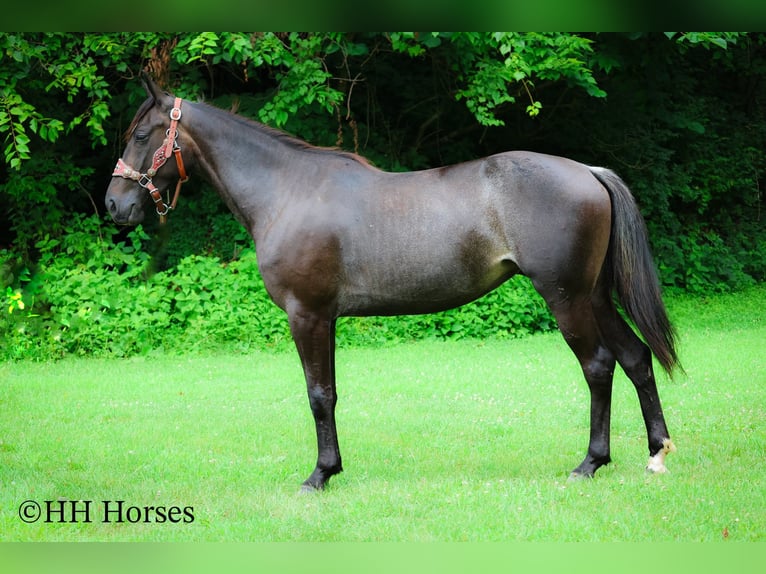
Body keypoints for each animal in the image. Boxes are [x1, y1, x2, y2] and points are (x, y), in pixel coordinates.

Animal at [106, 74, 679, 491]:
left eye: (141, 135)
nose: (115, 205)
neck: (287, 191)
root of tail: (587, 170)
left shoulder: (306, 314)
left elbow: (318, 394)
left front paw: (319, 476)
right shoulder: (326, 318)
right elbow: (331, 393)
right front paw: (333, 468)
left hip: (567, 298)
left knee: (599, 366)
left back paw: (590, 463)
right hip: (595, 296)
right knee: (635, 358)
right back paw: (656, 453)